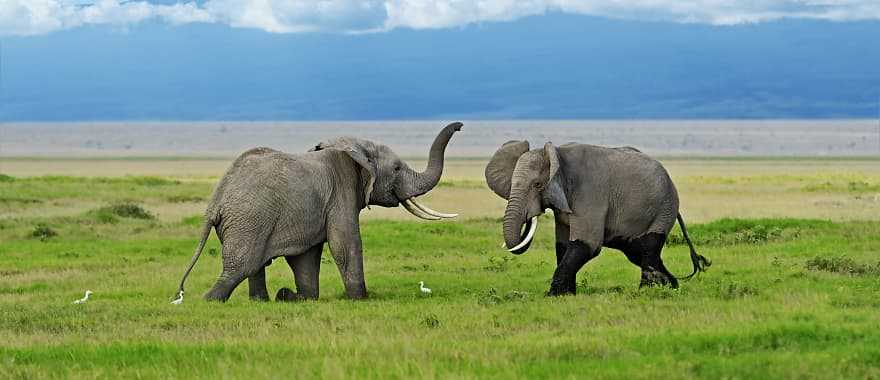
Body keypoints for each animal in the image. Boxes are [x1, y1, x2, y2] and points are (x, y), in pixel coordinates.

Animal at [171, 121, 460, 302]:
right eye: (397, 168)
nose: (460, 126)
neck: (355, 148)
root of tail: (216, 201)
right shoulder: (341, 192)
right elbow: (345, 243)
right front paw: (360, 299)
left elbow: (307, 256)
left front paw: (297, 297)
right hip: (249, 220)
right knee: (240, 267)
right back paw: (209, 301)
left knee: (254, 266)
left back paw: (265, 300)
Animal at [484, 141, 712, 296]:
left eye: (538, 185)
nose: (529, 218)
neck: (557, 153)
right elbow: (563, 246)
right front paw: (566, 296)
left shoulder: (590, 194)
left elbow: (587, 244)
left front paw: (552, 296)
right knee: (638, 253)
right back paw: (672, 287)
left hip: (663, 208)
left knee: (648, 248)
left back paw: (647, 292)